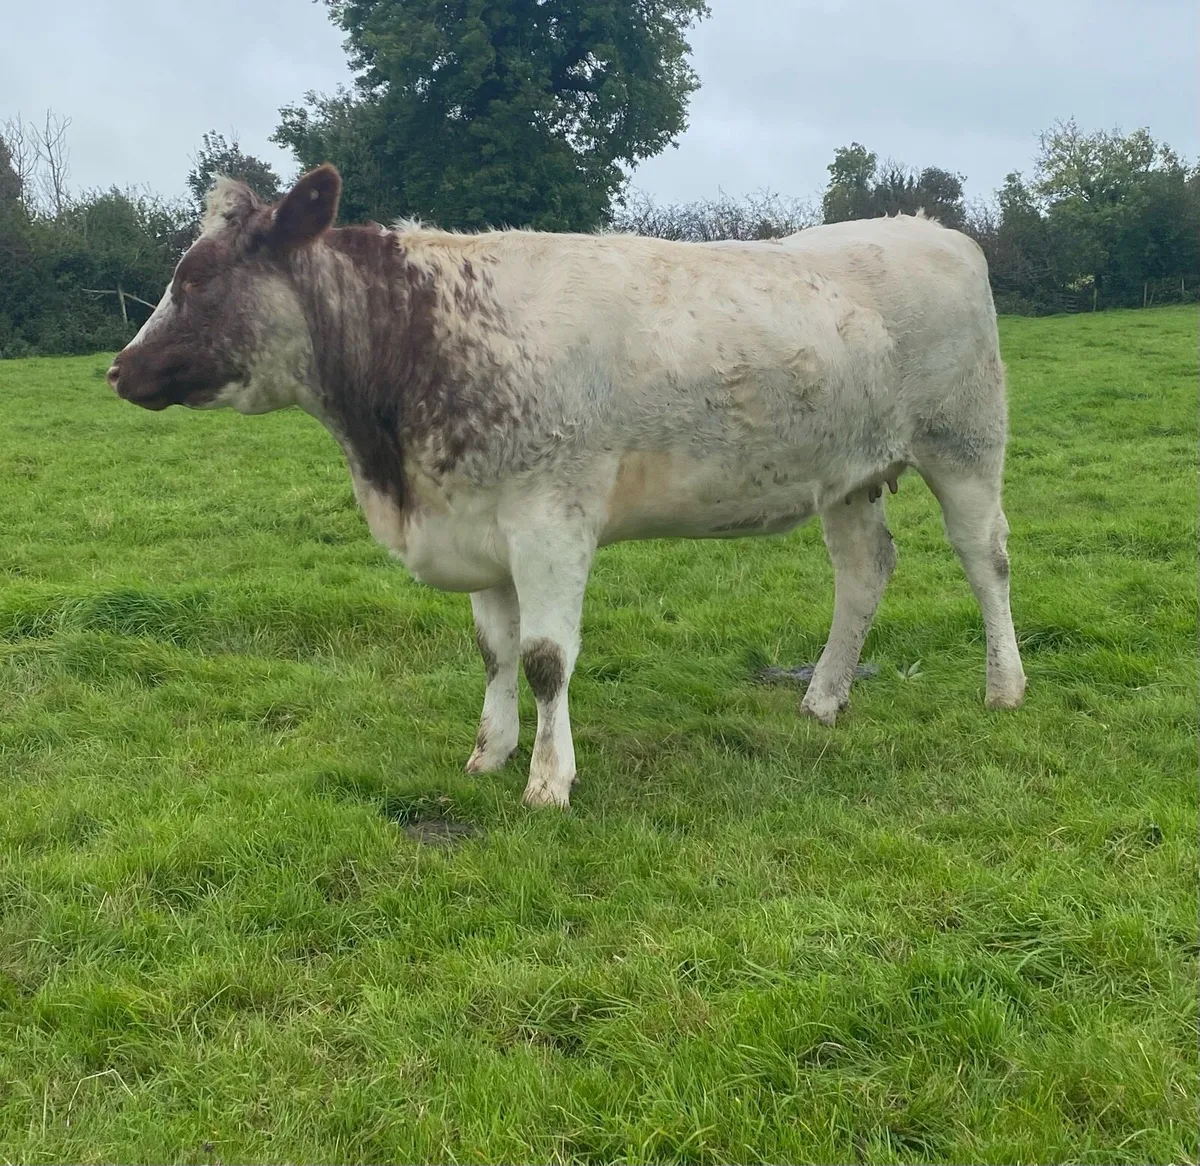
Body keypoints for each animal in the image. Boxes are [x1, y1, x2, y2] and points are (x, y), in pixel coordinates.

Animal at [107, 165, 1026, 809]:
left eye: (195, 280)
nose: (118, 369)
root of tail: (933, 230)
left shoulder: (550, 520)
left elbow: (547, 658)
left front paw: (550, 779)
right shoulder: (477, 524)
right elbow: (496, 651)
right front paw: (491, 751)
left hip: (966, 443)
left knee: (986, 560)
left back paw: (1004, 687)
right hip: (849, 474)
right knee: (864, 571)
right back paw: (825, 699)